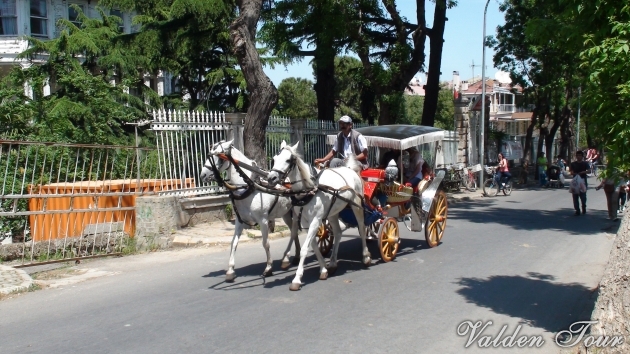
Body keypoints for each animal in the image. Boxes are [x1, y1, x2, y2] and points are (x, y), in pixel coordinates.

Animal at [201, 141, 302, 282]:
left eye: (219, 156)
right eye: (210, 154)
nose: (203, 175)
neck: (249, 187)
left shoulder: (263, 221)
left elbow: (265, 243)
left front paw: (268, 268)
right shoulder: (239, 221)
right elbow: (233, 243)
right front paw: (230, 270)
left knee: (294, 231)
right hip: (286, 214)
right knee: (294, 231)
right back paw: (296, 257)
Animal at [266, 141, 370, 290]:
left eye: (288, 160)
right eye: (274, 159)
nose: (271, 178)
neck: (309, 189)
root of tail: (350, 169)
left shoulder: (315, 220)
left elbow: (305, 249)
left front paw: (297, 279)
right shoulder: (305, 223)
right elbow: (314, 246)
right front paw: (324, 269)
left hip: (357, 205)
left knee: (362, 228)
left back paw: (366, 257)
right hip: (333, 212)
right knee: (338, 232)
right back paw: (332, 263)